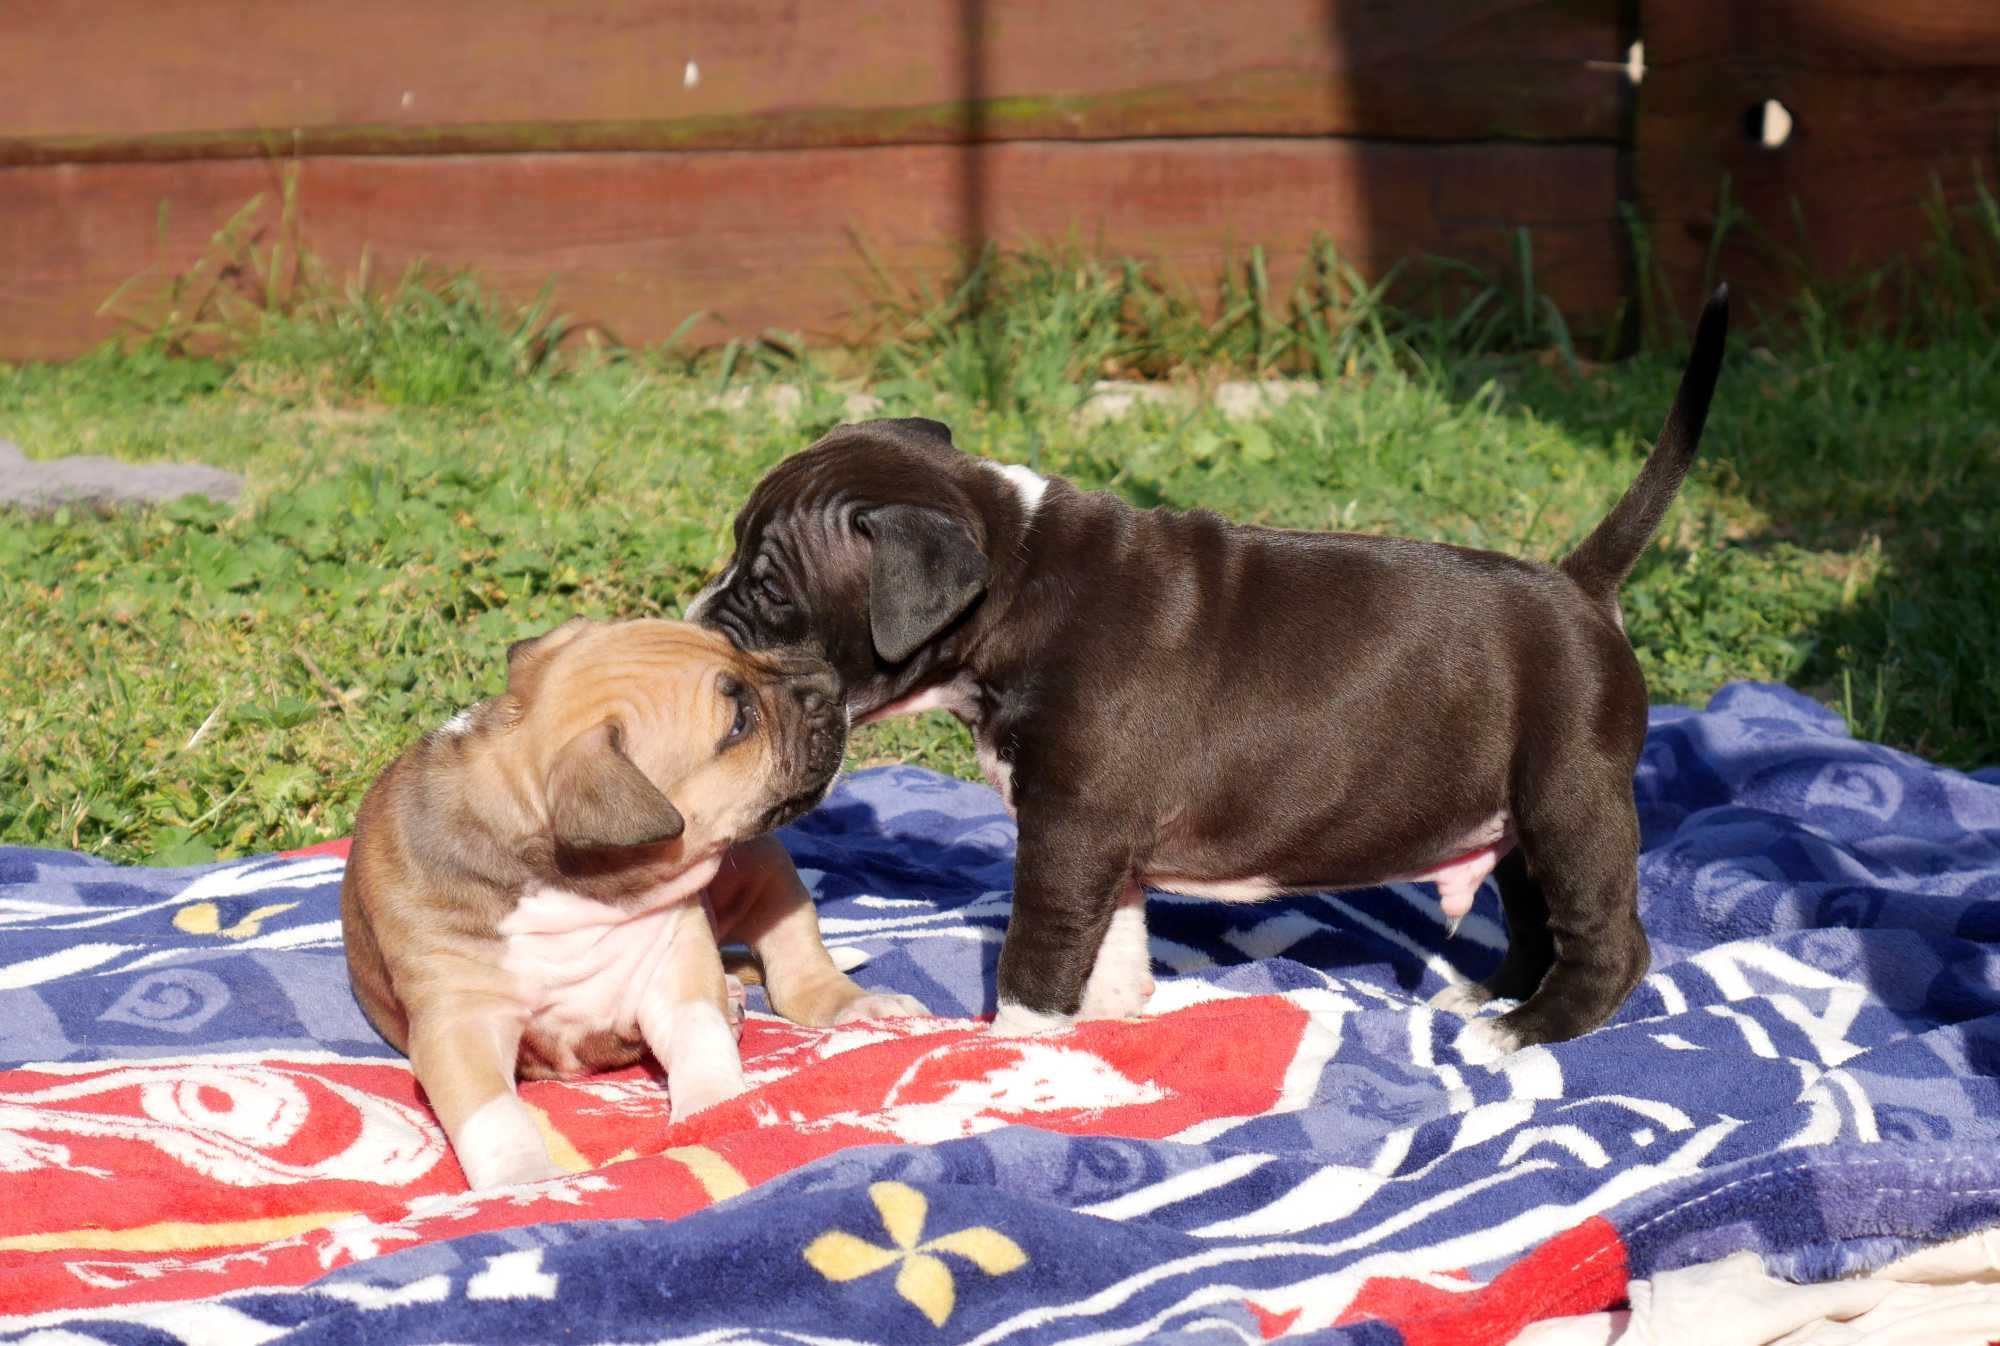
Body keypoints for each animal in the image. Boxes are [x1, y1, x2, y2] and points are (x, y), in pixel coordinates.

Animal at [696, 288, 1728, 1056]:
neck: (1013, 573)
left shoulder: (1070, 828)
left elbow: (1038, 947)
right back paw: (1485, 997)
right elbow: (1113, 938)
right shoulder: (1104, 840)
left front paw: (1014, 1047)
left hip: (1571, 795)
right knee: (1531, 915)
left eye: (770, 587)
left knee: (1608, 939)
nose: (698, 615)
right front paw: (1114, 1020)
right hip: (1507, 811)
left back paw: (1522, 1030)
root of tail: (1581, 583)